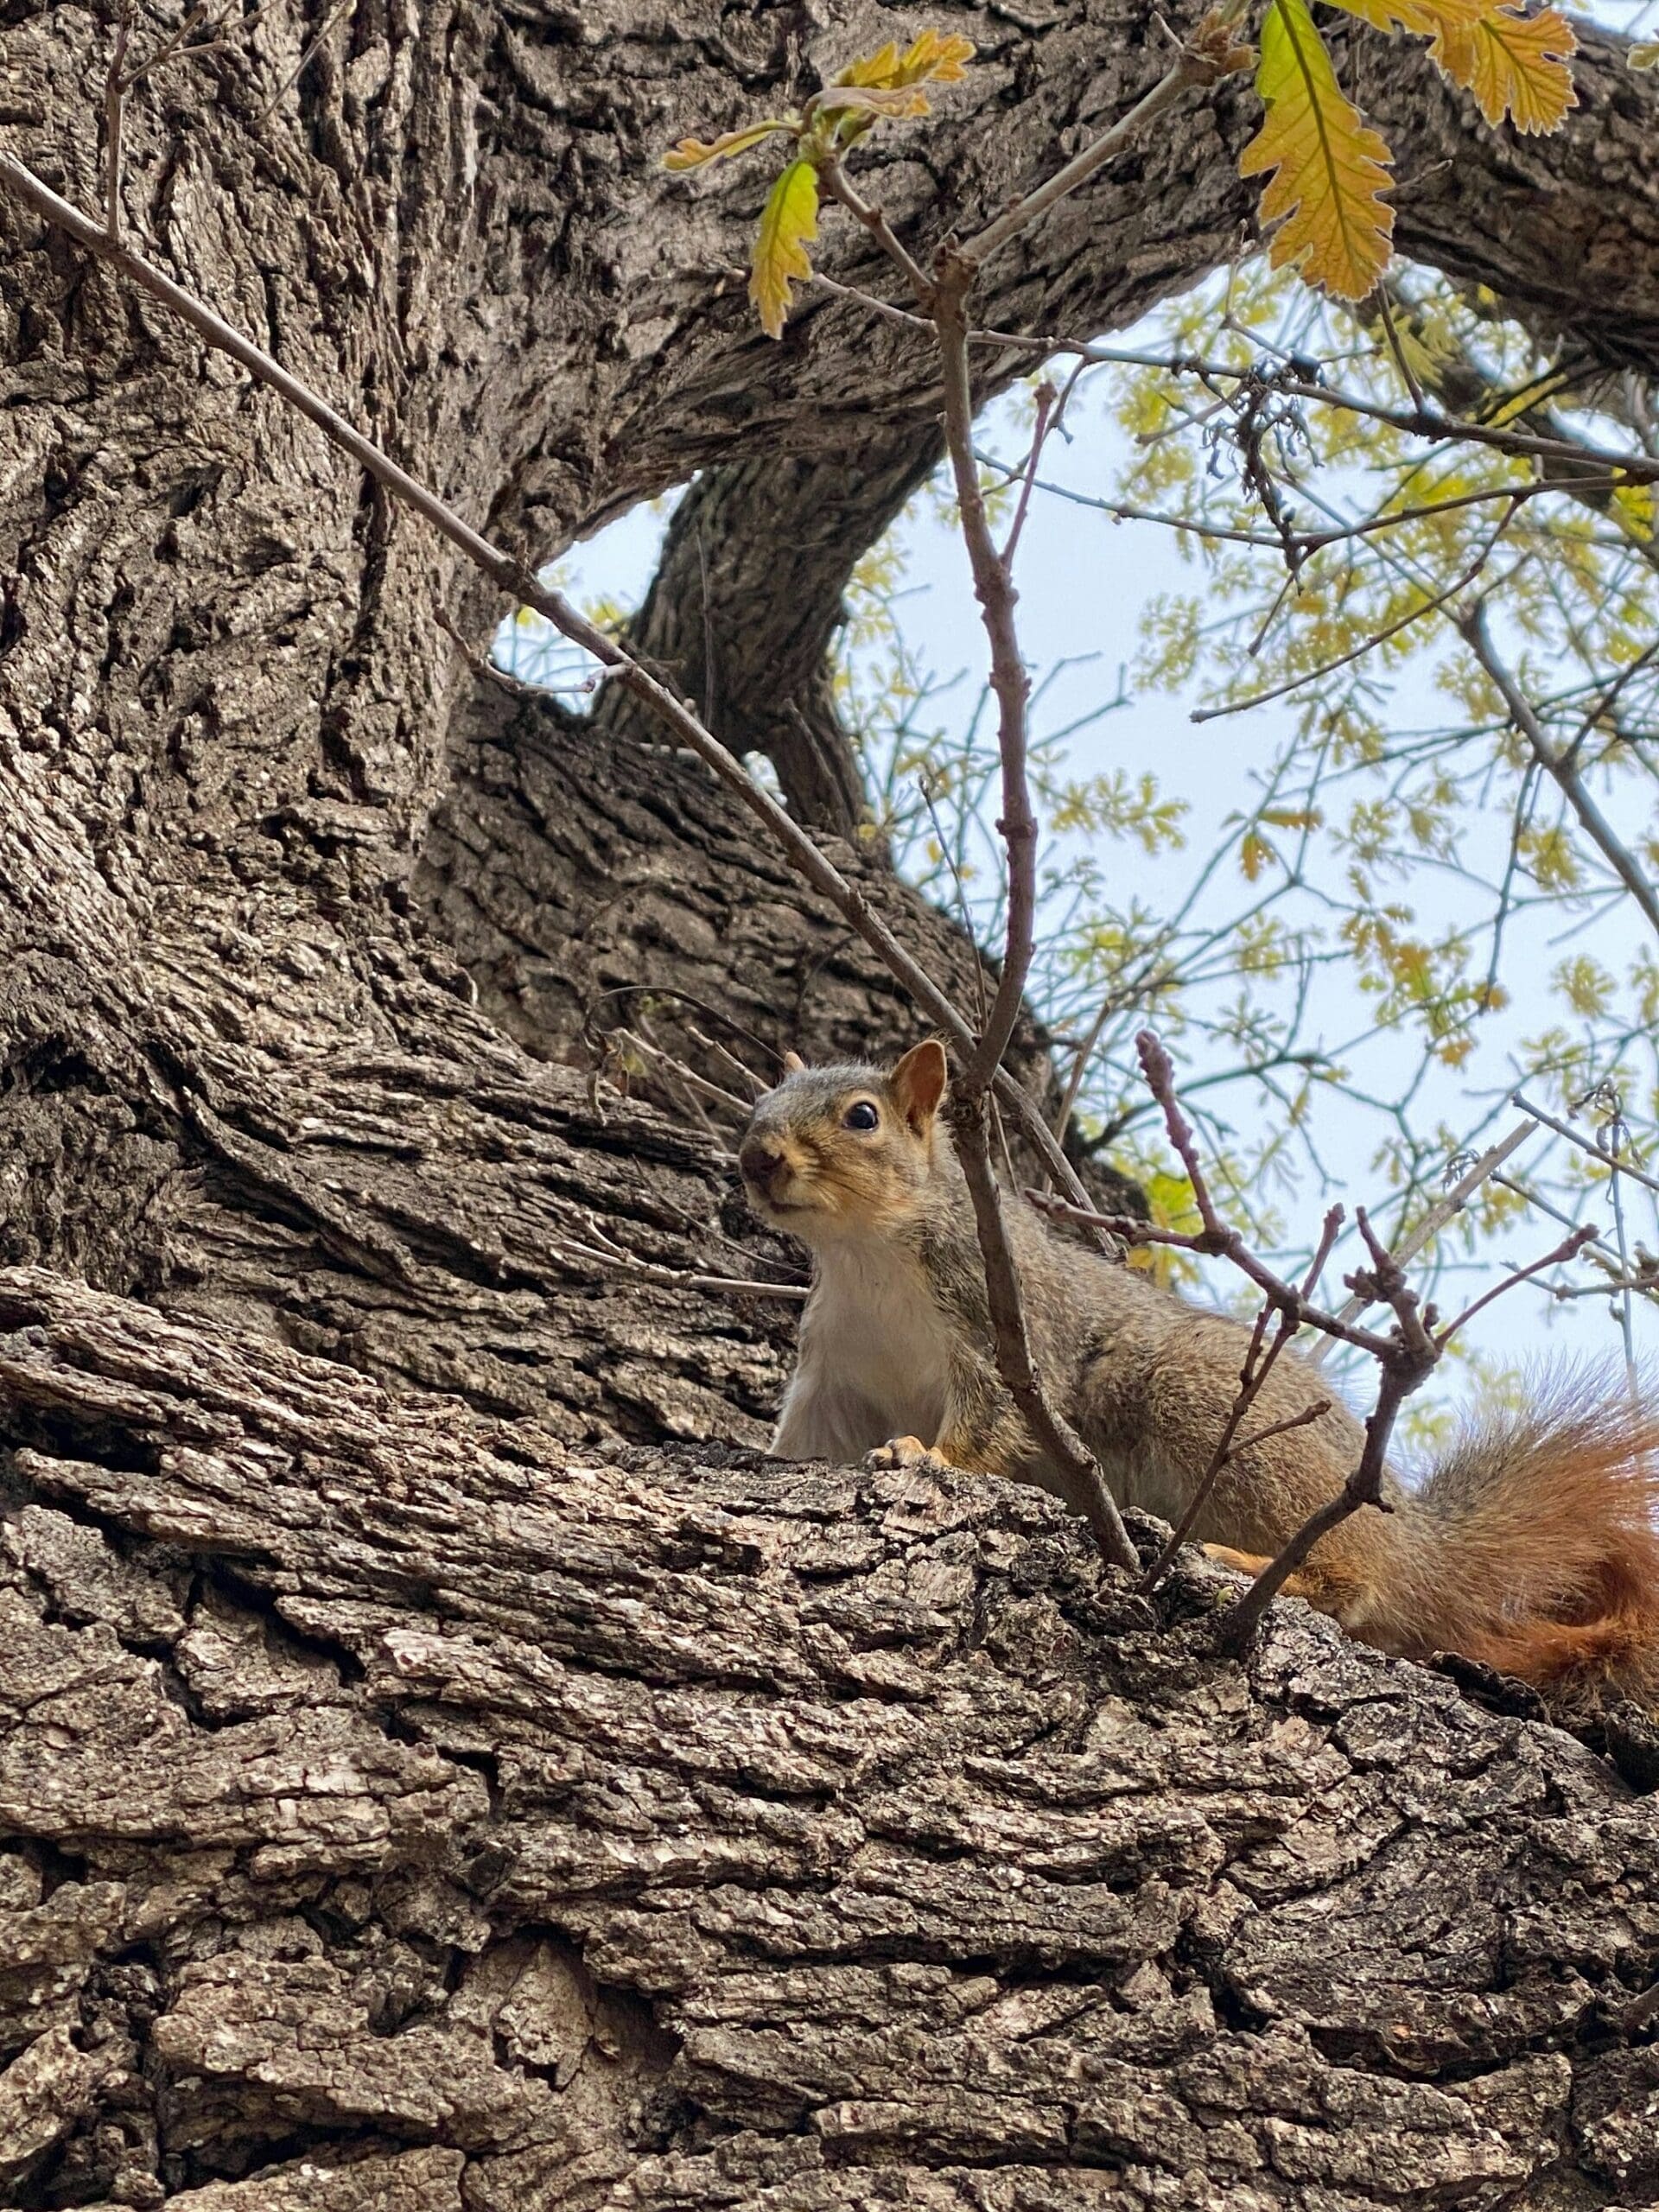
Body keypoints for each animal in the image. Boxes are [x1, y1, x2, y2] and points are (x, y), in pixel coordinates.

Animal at [738, 1038, 1659, 1706]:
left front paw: (925, 1455)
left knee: (1355, 1581)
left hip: (1209, 1412)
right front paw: (773, 1460)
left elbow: (991, 1421)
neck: (864, 1255)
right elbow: (808, 1434)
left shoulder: (1004, 1328)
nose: (760, 1157)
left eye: (863, 1118)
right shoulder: (835, 1368)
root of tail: (1415, 1543)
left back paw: (1256, 1567)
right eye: (758, 1108)